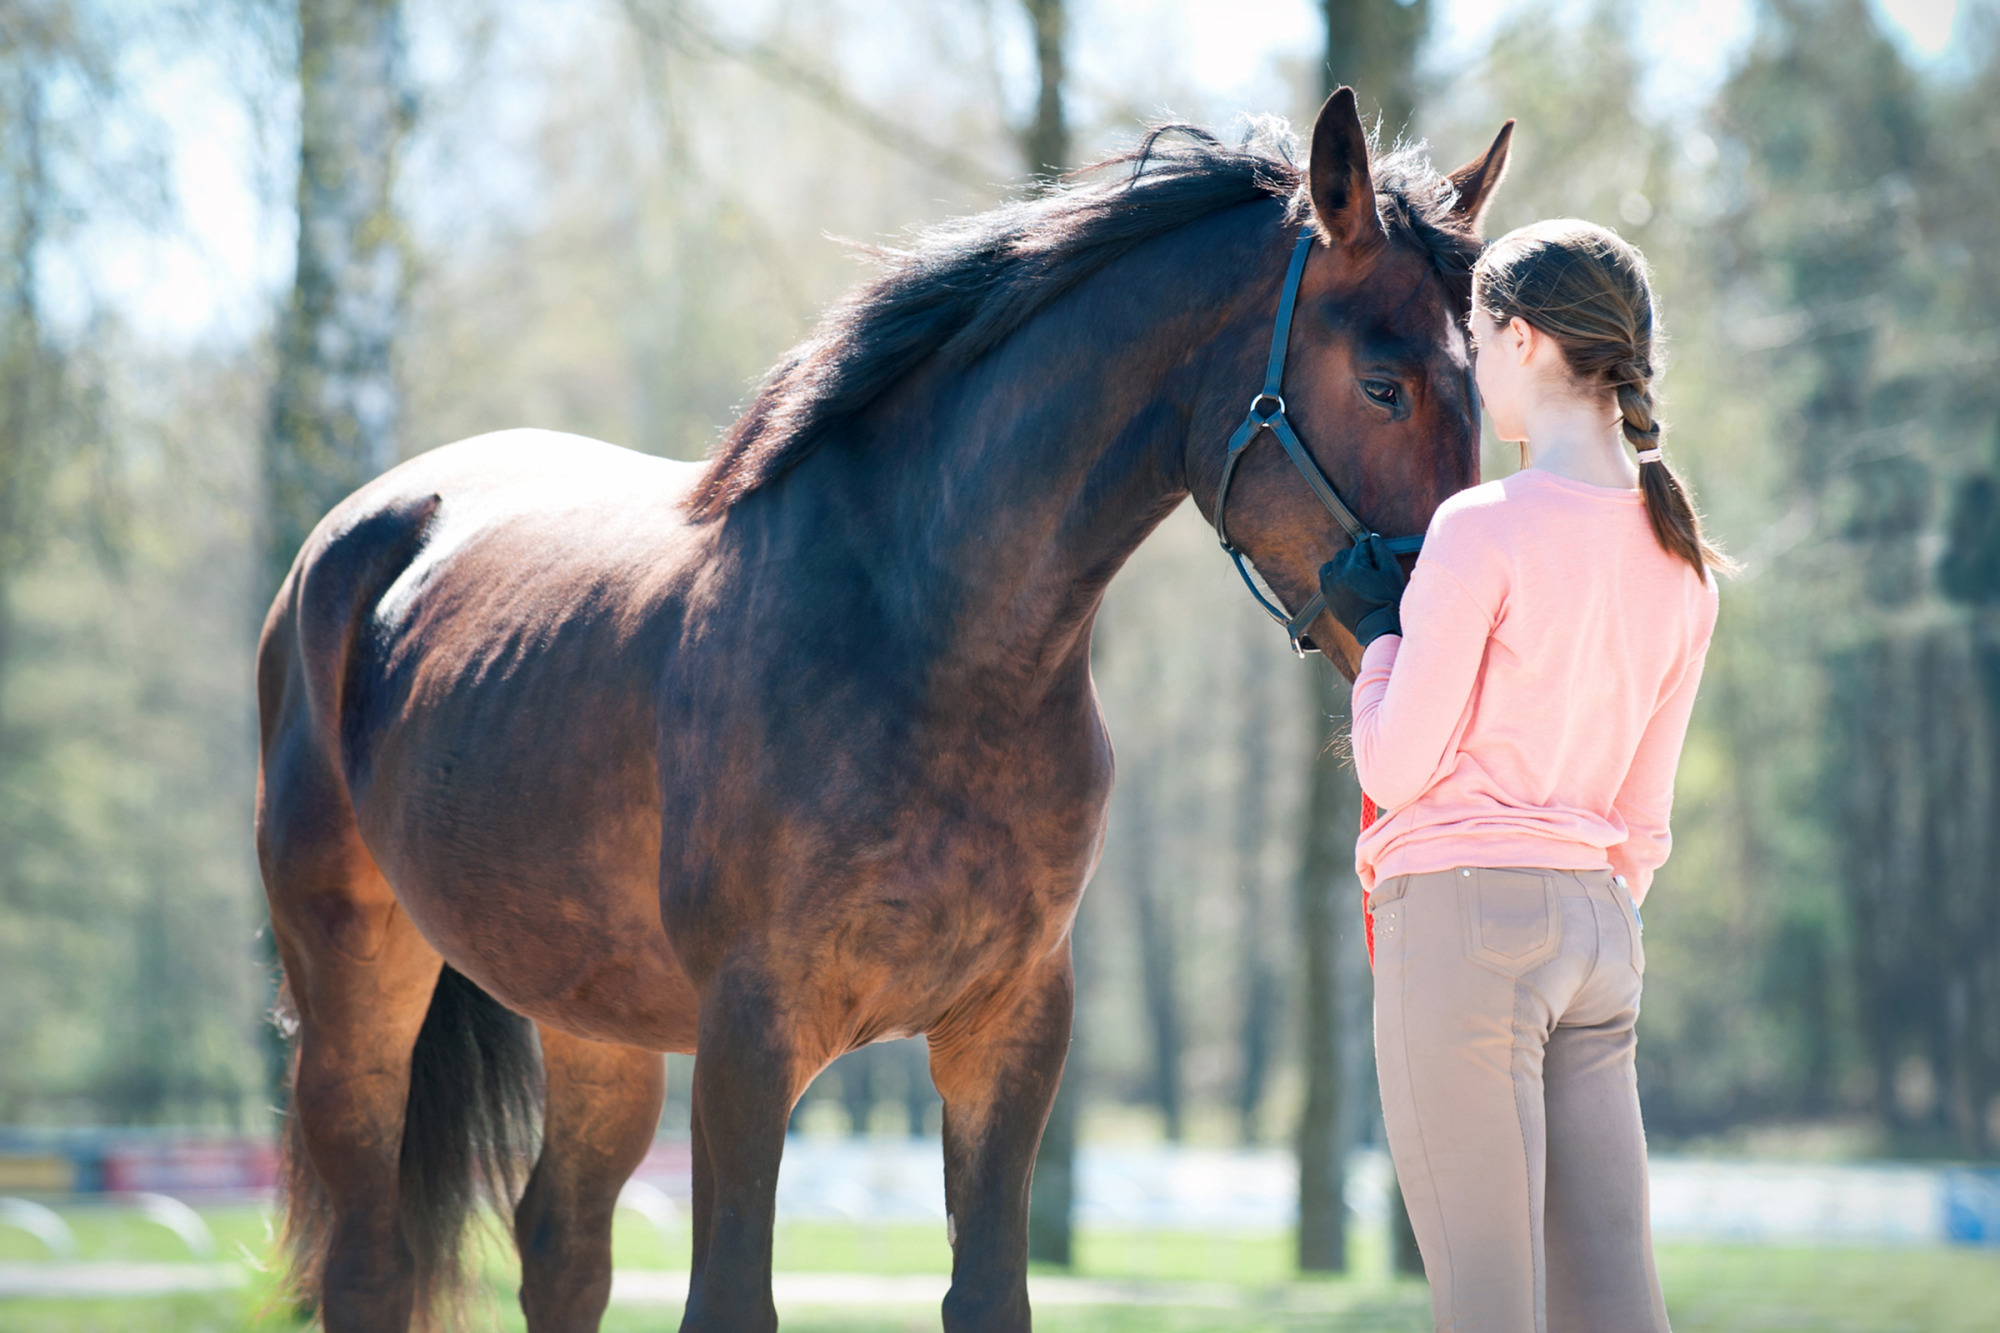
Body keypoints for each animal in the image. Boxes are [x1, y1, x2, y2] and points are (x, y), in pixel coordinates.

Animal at [255, 88, 1511, 1332]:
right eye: (1383, 383)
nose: (1454, 633)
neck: (922, 642)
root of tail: (361, 531)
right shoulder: (750, 1035)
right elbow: (730, 1297)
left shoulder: (1007, 1033)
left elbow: (989, 1290)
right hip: (357, 995)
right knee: (370, 1259)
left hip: (591, 1019)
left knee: (561, 1245)